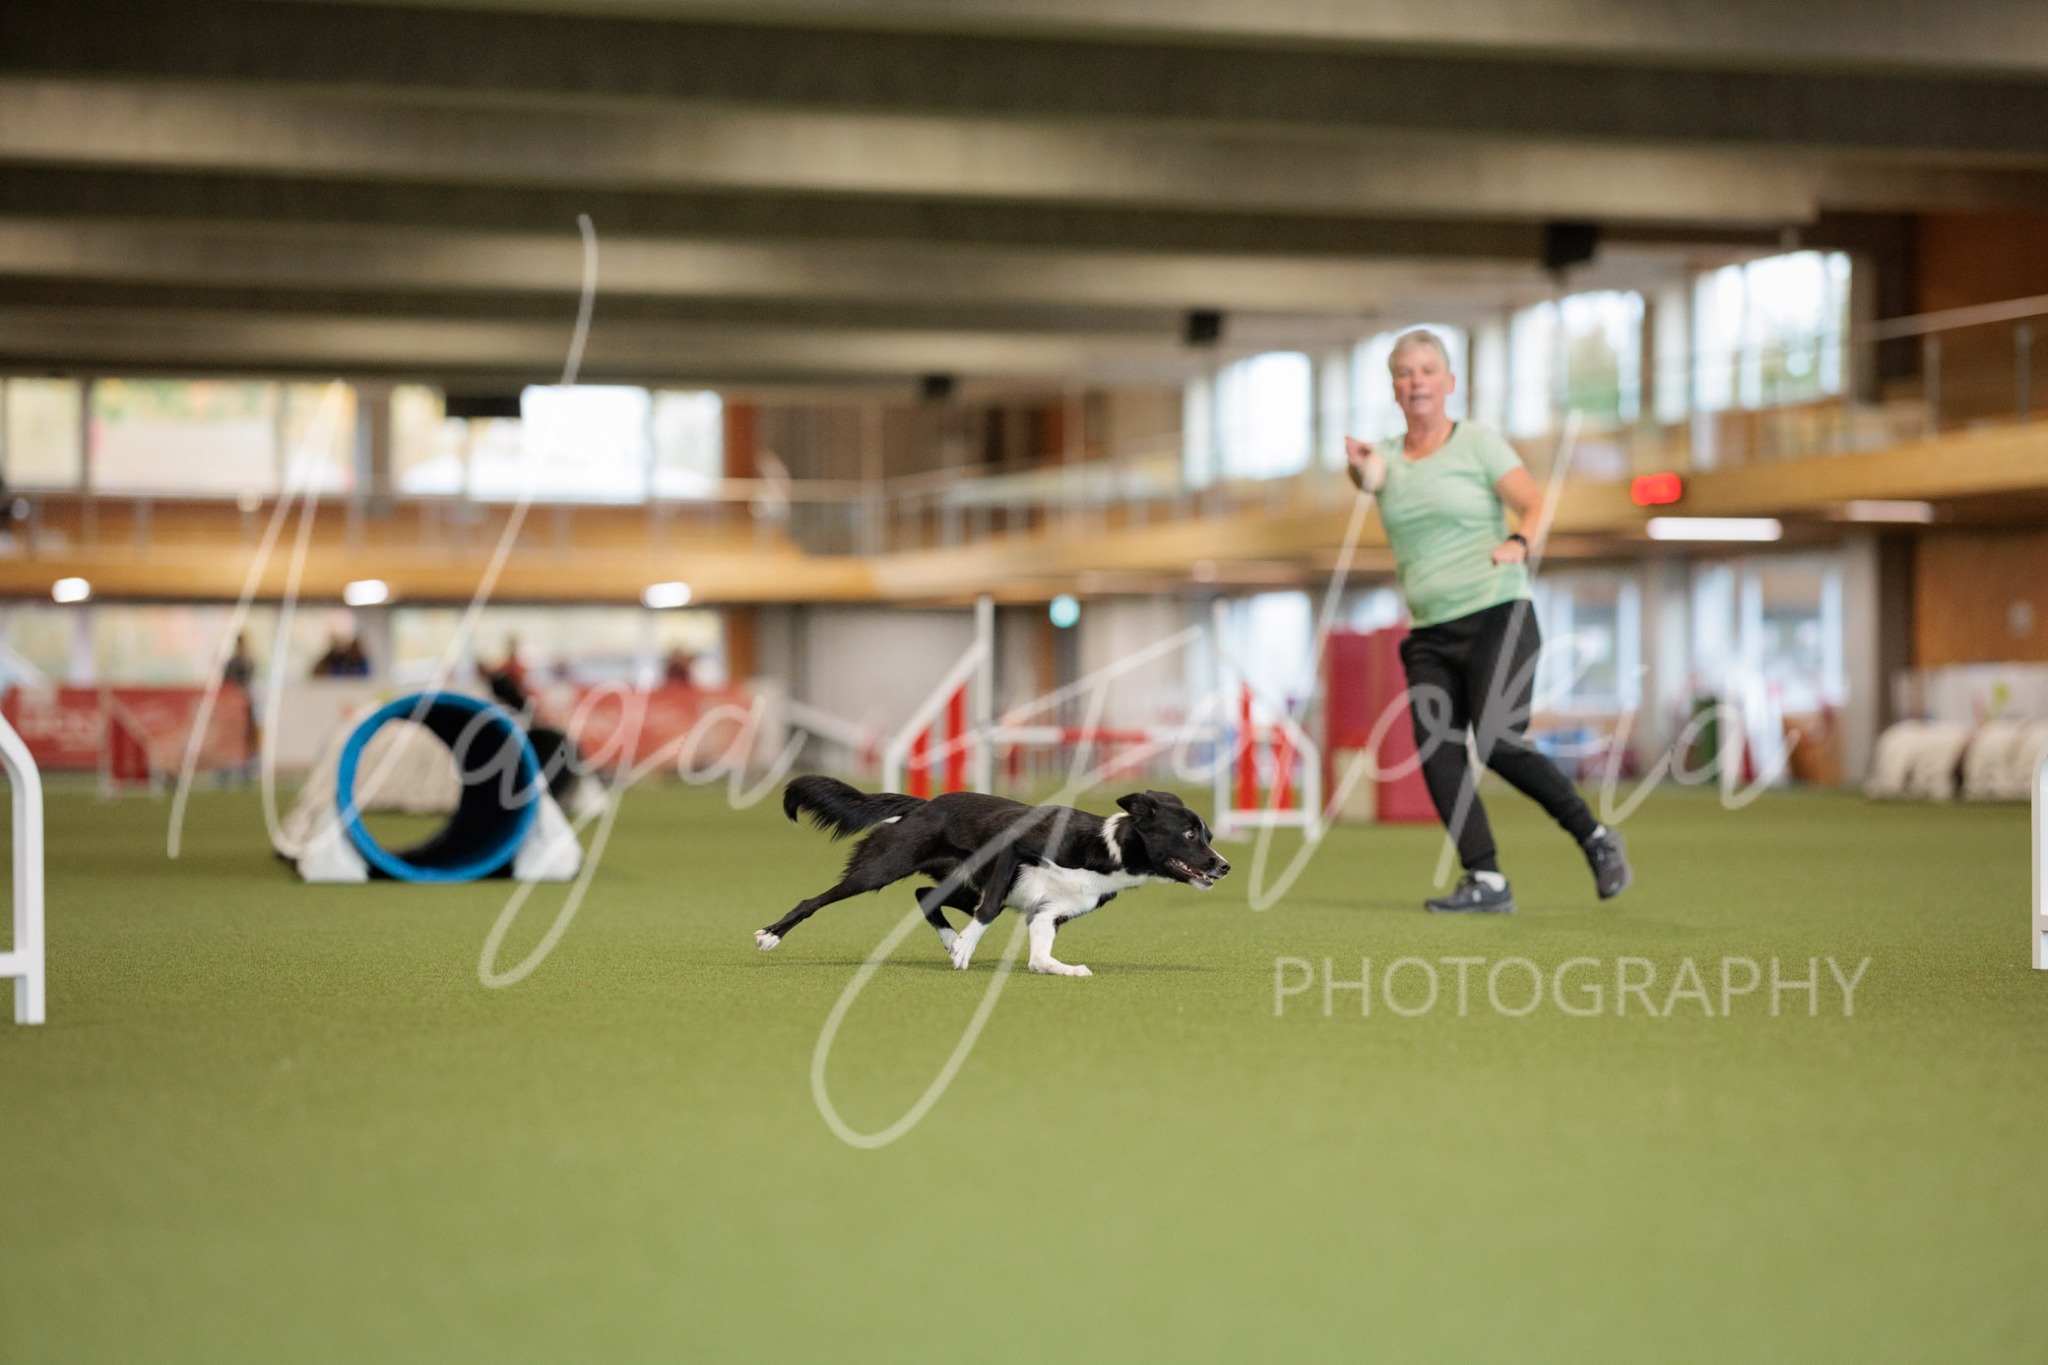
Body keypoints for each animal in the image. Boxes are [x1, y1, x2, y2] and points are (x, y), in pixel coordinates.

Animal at [753, 775, 1230, 977]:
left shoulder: (1047, 913)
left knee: (925, 893)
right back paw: (770, 935)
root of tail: (923, 805)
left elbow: (1040, 955)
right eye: (1190, 834)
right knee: (814, 901)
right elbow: (991, 911)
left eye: (1208, 834)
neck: (1106, 848)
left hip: (962, 882)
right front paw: (966, 947)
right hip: (882, 867)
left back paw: (950, 939)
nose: (1223, 865)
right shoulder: (1012, 849)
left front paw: (1063, 969)